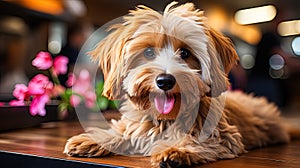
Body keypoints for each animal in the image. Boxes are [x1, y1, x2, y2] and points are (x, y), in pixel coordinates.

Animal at [63, 1, 296, 167]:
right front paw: (95, 139)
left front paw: (176, 150)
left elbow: (199, 141)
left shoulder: (223, 136)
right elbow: (122, 130)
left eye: (184, 53)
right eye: (149, 52)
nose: (165, 81)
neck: (165, 119)